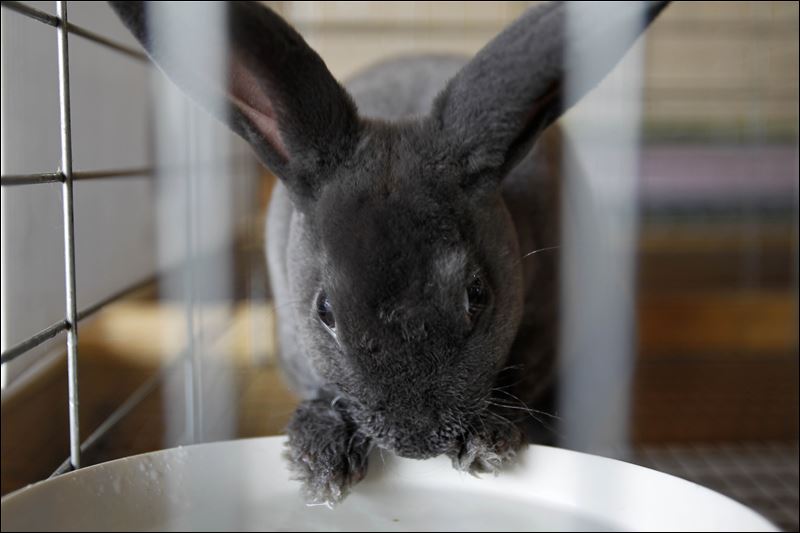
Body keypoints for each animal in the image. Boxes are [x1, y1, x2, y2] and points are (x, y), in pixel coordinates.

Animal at [110, 0, 670, 505]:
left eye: (477, 296)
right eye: (326, 311)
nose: (418, 443)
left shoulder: (548, 326)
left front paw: (486, 443)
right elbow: (318, 390)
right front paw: (321, 459)